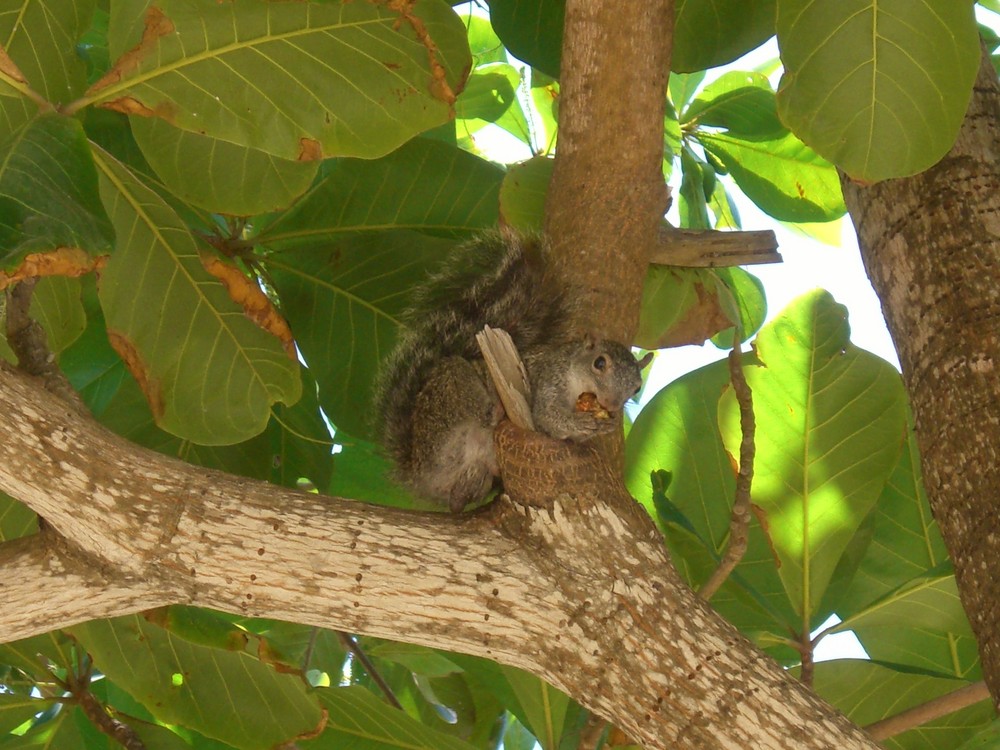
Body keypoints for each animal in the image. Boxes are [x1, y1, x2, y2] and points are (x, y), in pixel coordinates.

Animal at [372, 232, 652, 516]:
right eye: (599, 363)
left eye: (636, 388)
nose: (612, 404)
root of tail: (418, 472)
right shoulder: (548, 380)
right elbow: (548, 418)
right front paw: (580, 423)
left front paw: (607, 424)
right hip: (454, 389)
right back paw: (495, 409)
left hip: (476, 475)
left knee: (458, 501)